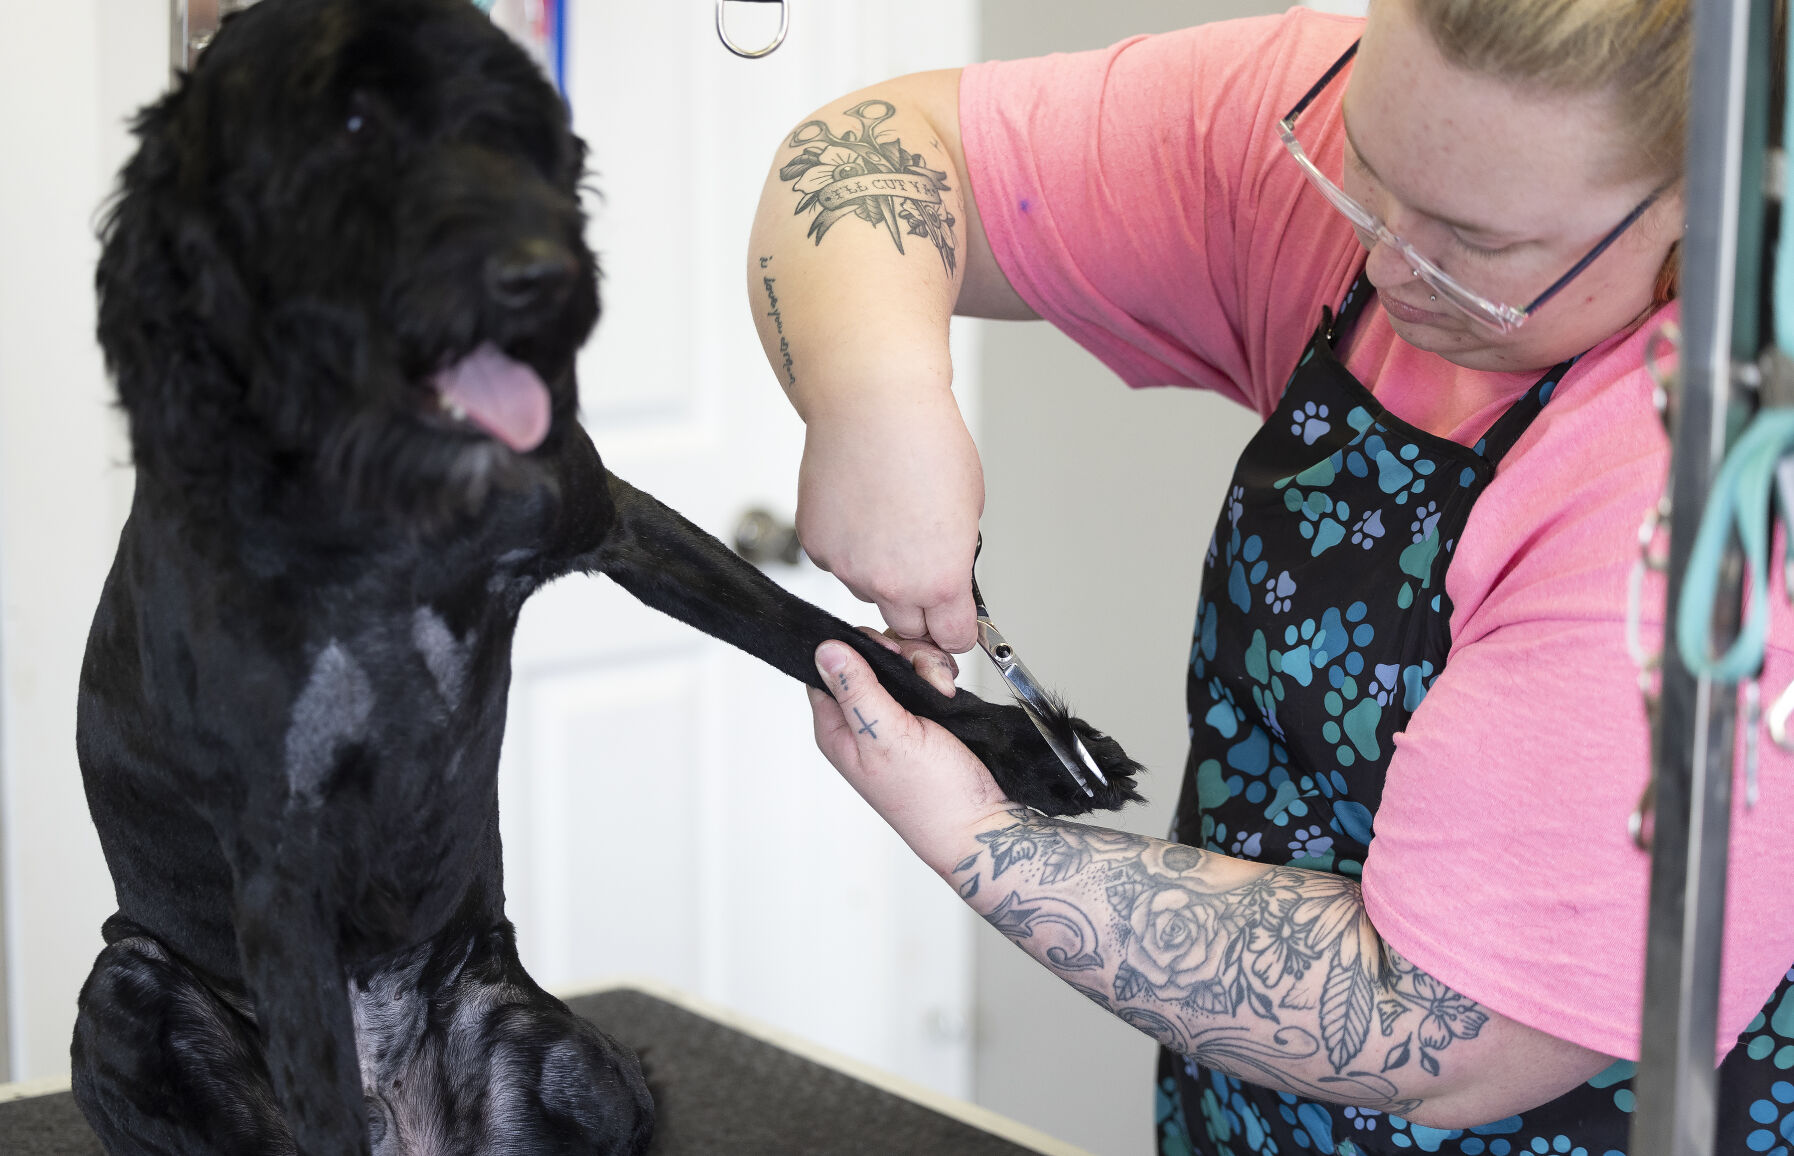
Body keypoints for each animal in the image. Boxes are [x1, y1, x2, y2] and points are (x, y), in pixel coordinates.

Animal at [69, 2, 1140, 1156]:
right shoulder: (280, 852)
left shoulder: (615, 522)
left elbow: (821, 634)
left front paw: (1028, 753)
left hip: (583, 1067)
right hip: (124, 983)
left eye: (509, 123)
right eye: (349, 126)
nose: (541, 275)